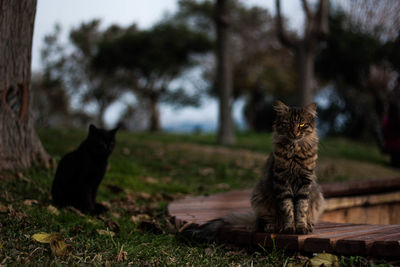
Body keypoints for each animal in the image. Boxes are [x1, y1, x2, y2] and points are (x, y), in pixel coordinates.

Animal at [186, 101, 324, 243]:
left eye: (302, 124)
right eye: (288, 124)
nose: (295, 133)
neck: (294, 150)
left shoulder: (305, 182)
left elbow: (301, 208)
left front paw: (301, 227)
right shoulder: (282, 181)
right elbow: (288, 208)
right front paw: (290, 227)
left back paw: (309, 224)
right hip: (260, 195)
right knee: (263, 222)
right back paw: (273, 226)